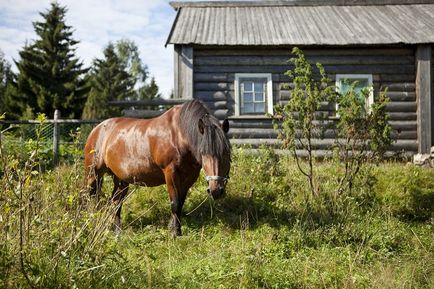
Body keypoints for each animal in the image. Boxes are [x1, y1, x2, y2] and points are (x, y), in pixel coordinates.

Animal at [85, 100, 232, 235]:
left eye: (226, 152)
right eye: (203, 153)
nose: (216, 190)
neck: (179, 135)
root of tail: (97, 129)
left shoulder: (189, 177)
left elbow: (180, 203)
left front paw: (175, 230)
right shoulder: (170, 173)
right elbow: (175, 203)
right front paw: (175, 234)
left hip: (121, 179)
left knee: (116, 202)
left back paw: (117, 232)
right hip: (93, 174)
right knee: (89, 196)